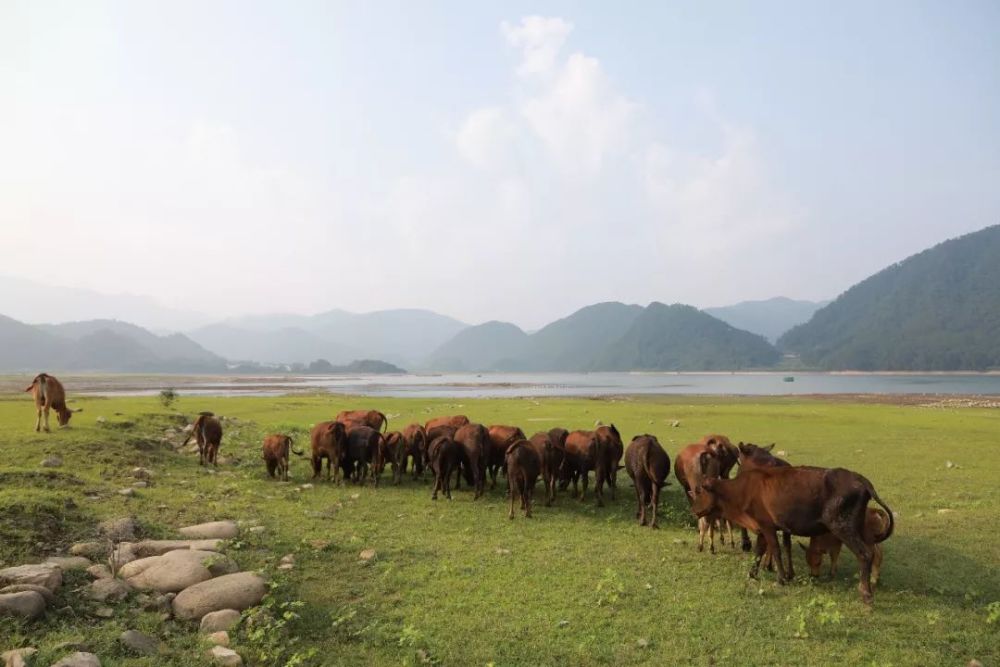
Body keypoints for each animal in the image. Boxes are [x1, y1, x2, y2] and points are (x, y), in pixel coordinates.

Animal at [692, 464, 896, 604]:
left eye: (700, 490)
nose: (694, 510)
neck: (742, 490)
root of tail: (861, 480)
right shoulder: (762, 528)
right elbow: (759, 551)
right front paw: (752, 574)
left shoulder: (767, 527)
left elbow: (775, 550)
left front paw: (781, 578)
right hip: (862, 531)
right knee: (873, 553)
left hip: (844, 527)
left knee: (865, 554)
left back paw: (865, 592)